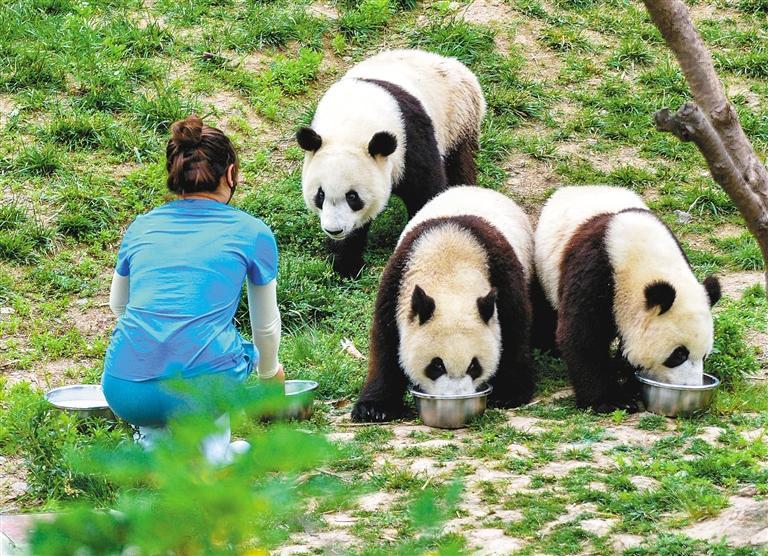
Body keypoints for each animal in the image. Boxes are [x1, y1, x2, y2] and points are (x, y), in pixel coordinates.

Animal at [296, 48, 484, 278]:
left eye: (352, 196)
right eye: (320, 194)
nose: (334, 230)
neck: (352, 123)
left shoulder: (410, 141)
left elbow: (426, 192)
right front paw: (345, 265)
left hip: (458, 119)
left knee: (459, 164)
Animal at [352, 187, 536, 422]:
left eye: (474, 366)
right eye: (436, 365)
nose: (455, 397)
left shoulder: (504, 277)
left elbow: (515, 333)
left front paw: (509, 393)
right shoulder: (395, 285)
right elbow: (385, 346)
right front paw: (374, 409)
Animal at [536, 187, 720, 412]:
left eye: (704, 355)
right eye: (678, 355)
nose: (690, 386)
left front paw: (629, 383)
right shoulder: (596, 273)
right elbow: (582, 336)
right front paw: (608, 400)